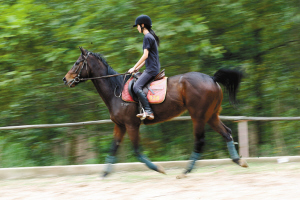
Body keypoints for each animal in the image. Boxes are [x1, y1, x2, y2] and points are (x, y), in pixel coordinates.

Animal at [62, 47, 247, 178]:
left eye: (77, 62)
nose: (65, 79)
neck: (116, 91)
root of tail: (212, 79)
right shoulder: (120, 126)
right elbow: (113, 148)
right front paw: (104, 174)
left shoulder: (131, 125)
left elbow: (137, 151)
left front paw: (159, 168)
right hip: (211, 115)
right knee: (227, 133)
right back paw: (239, 161)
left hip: (199, 116)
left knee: (200, 141)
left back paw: (185, 172)